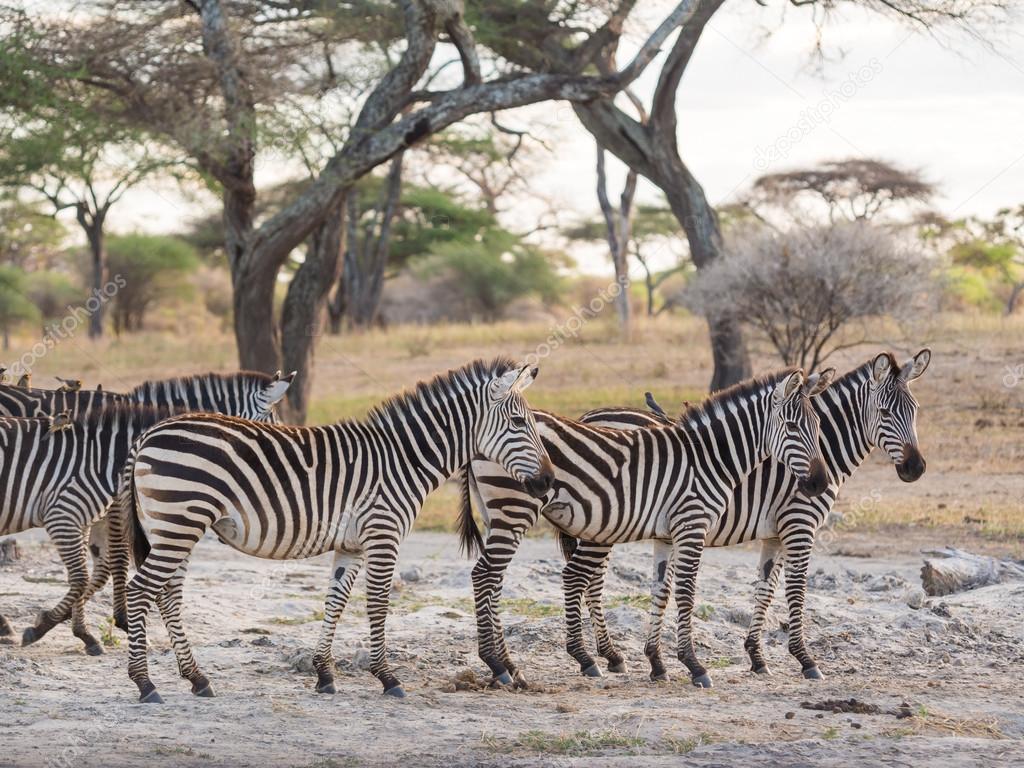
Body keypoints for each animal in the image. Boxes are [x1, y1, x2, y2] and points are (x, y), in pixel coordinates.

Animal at [119, 360, 557, 704]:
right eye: (519, 422)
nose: (550, 483)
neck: (404, 460)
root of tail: (147, 433)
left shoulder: (352, 546)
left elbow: (336, 601)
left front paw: (324, 674)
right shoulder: (383, 535)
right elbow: (377, 604)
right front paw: (387, 677)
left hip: (172, 527)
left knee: (167, 594)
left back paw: (197, 678)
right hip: (179, 522)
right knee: (141, 590)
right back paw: (145, 684)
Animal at [462, 370, 831, 688]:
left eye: (817, 426)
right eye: (793, 426)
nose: (819, 483)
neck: (709, 458)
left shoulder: (668, 534)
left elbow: (661, 589)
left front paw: (659, 664)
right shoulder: (693, 524)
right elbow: (687, 593)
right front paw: (695, 666)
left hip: (501, 514)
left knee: (495, 578)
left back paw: (511, 666)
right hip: (517, 509)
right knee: (485, 575)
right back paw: (500, 664)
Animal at [565, 352, 933, 684]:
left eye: (915, 410)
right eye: (884, 413)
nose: (916, 469)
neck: (821, 450)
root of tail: (589, 415)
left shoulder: (774, 533)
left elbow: (765, 589)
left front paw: (757, 657)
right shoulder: (799, 524)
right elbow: (796, 589)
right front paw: (805, 659)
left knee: (592, 580)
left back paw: (608, 655)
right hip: (606, 523)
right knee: (588, 580)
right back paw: (599, 656)